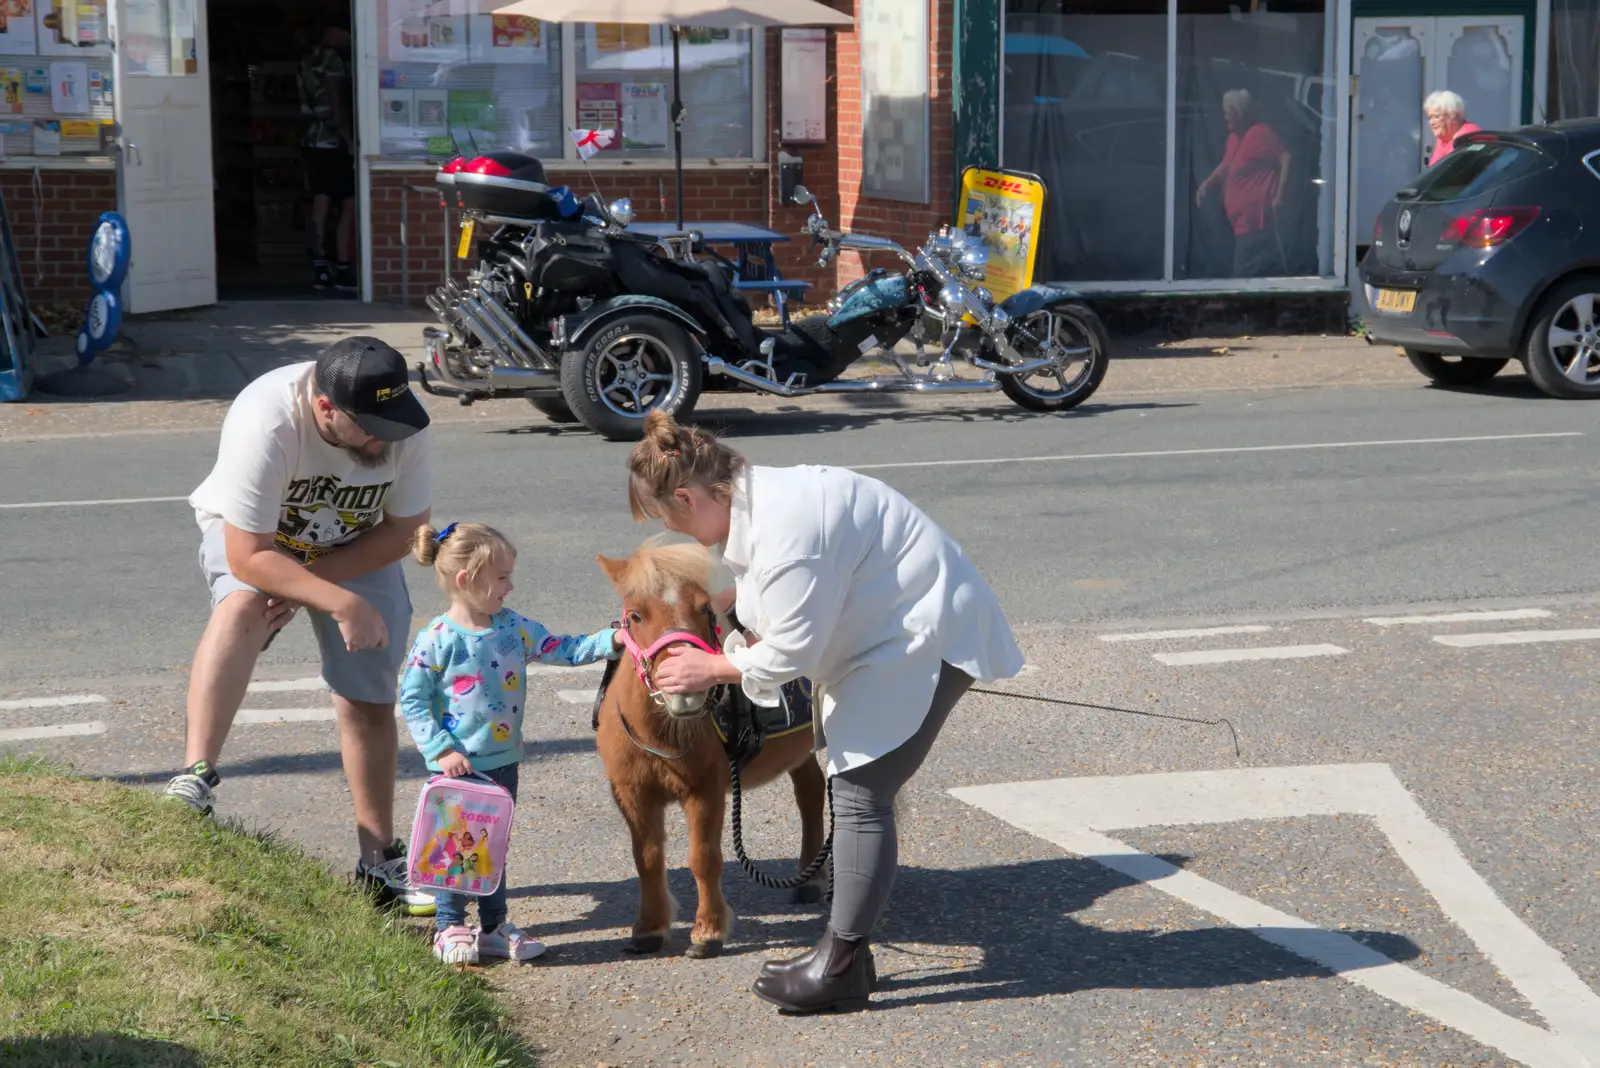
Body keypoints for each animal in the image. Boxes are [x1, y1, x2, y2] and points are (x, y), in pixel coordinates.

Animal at [595, 543, 832, 959]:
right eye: (636, 615)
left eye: (705, 610)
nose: (685, 690)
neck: (661, 735)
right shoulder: (633, 795)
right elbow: (647, 860)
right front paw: (650, 928)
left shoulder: (705, 791)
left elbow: (703, 860)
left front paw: (708, 932)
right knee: (810, 790)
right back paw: (810, 878)